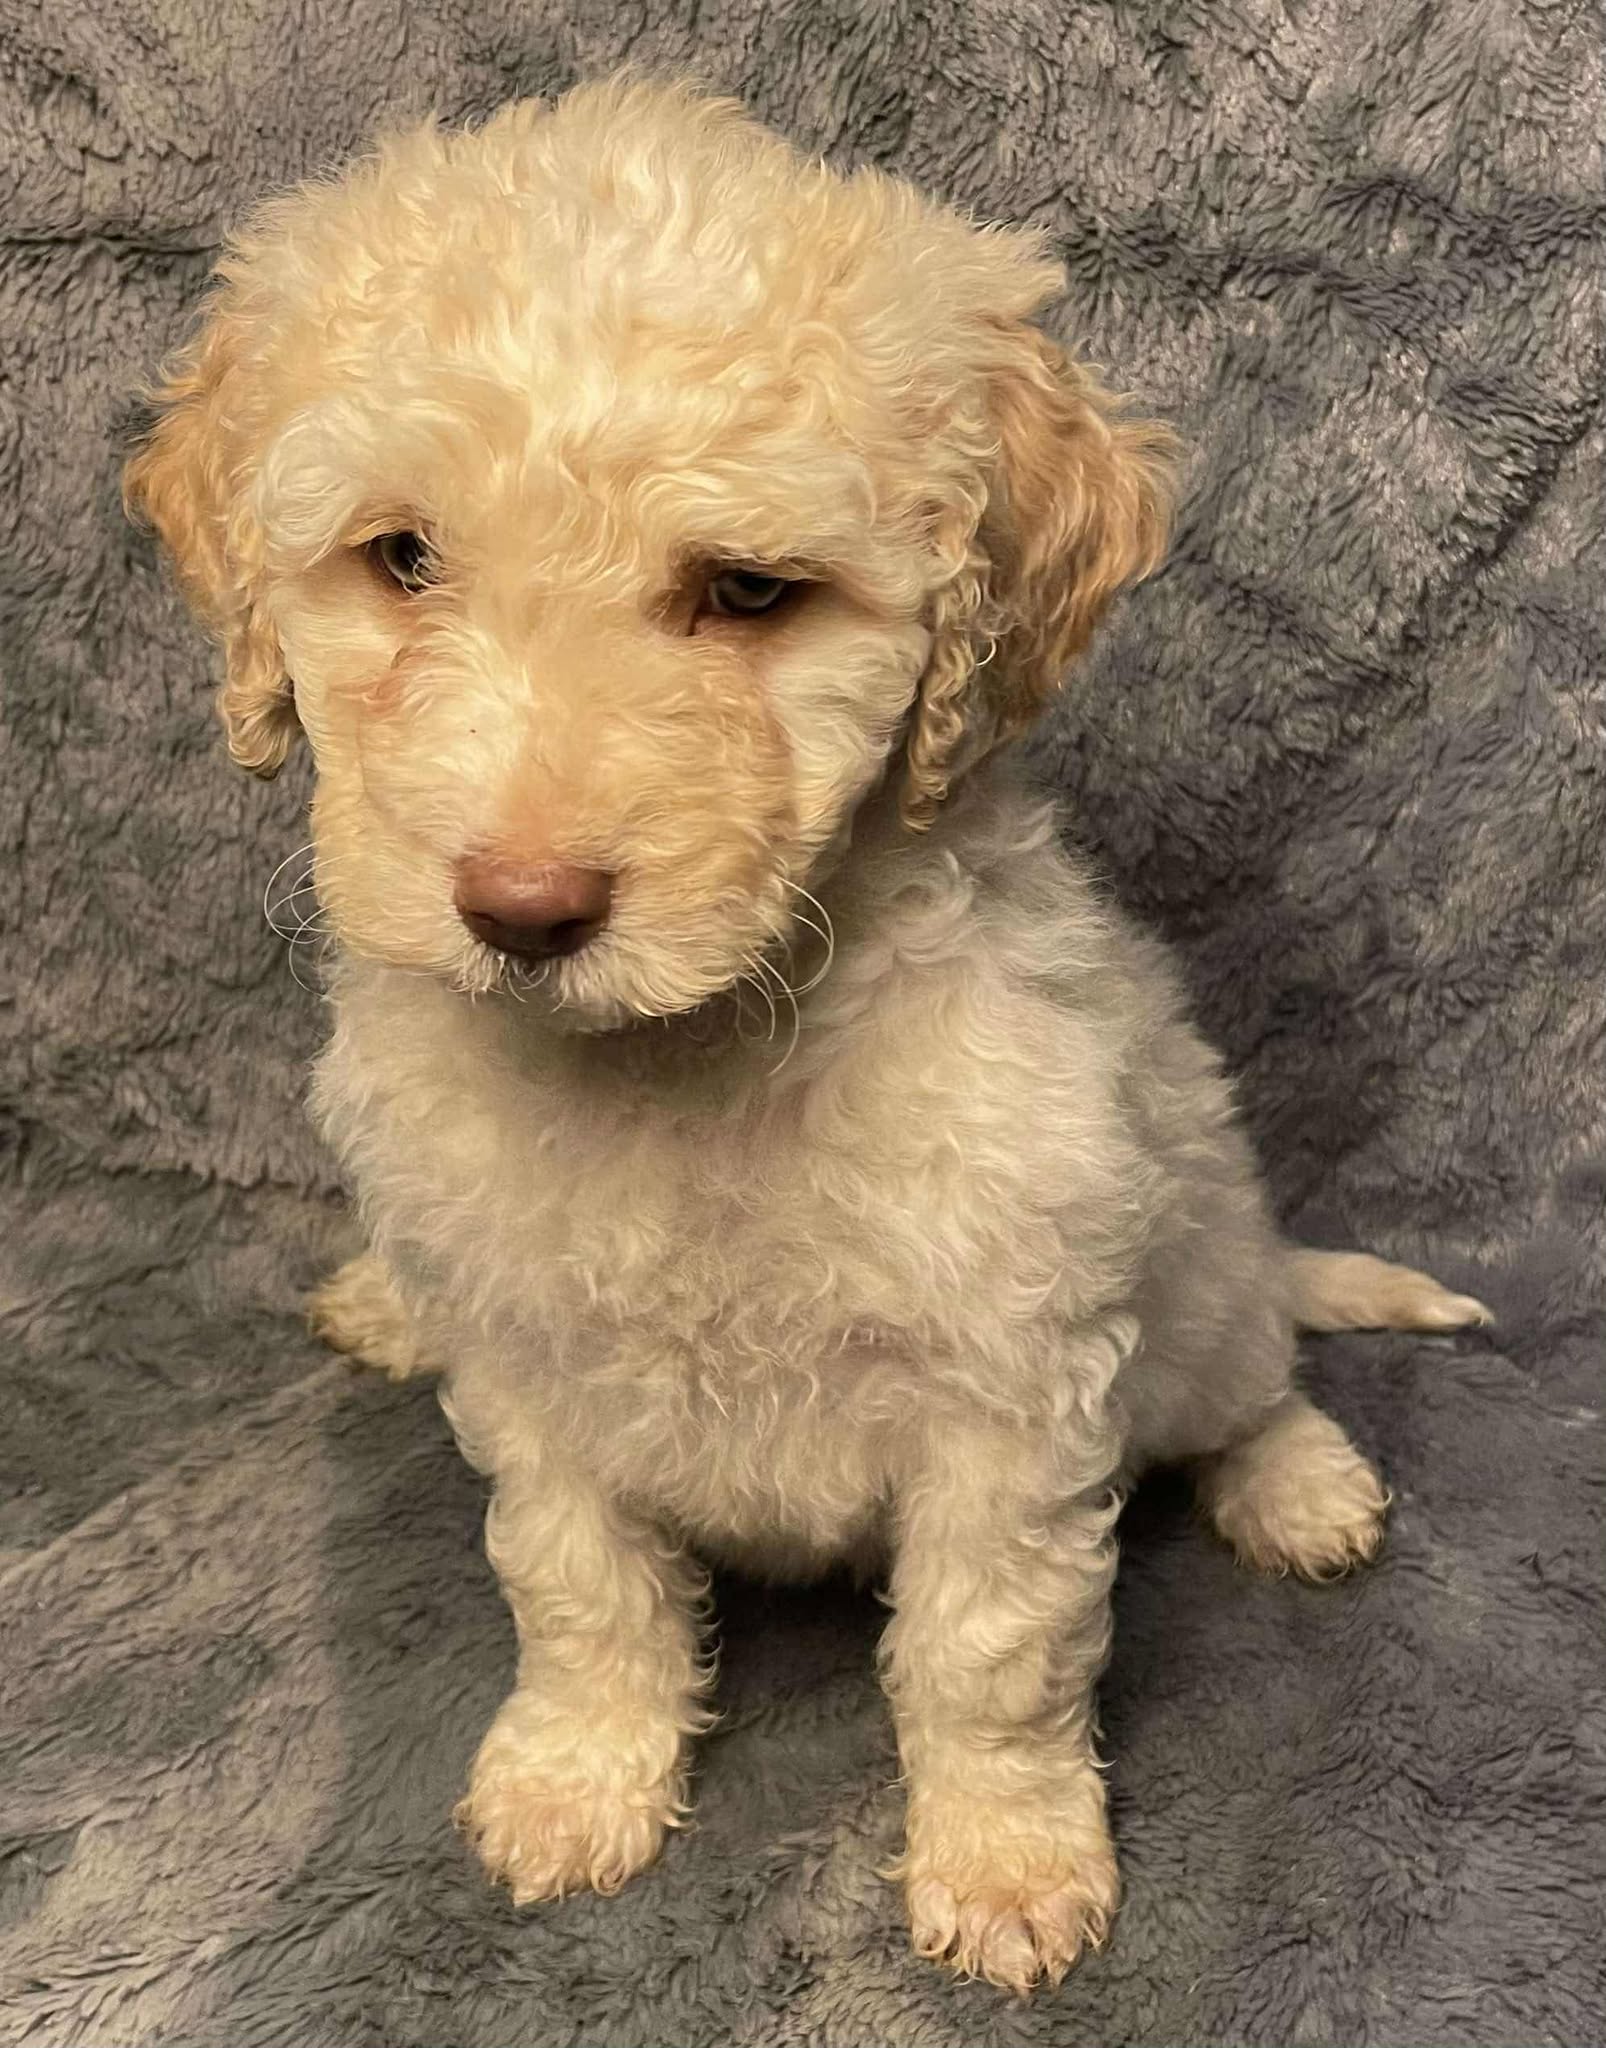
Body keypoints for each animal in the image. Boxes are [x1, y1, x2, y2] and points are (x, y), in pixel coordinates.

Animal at [126, 75, 1489, 1991]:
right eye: (400, 559)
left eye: (751, 595)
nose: (522, 909)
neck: (686, 1059)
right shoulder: (528, 1365)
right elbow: (575, 1583)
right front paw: (576, 1777)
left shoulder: (1010, 1383)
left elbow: (987, 1652)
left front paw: (1006, 1861)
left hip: (1197, 1251)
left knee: (1245, 1374)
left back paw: (1298, 1485)